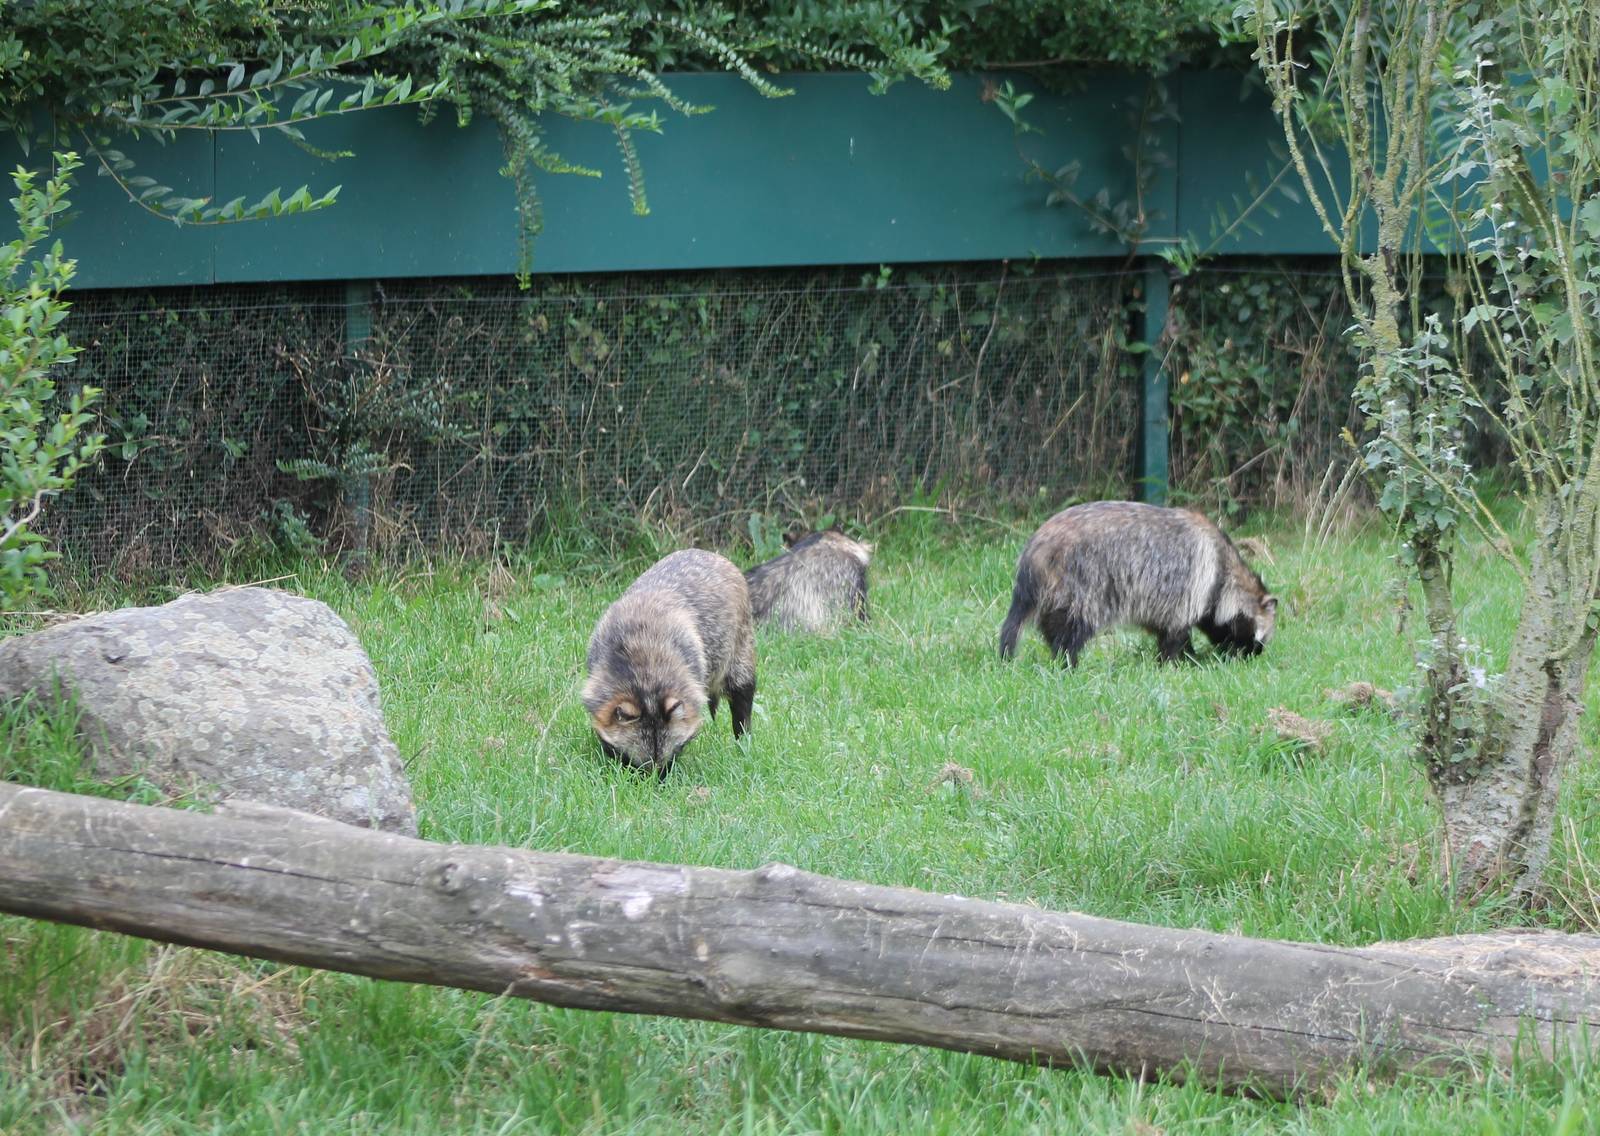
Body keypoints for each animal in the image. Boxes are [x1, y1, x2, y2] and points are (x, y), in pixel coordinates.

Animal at [582, 549, 757, 777]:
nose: (654, 781)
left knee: (742, 688)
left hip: (739, 643)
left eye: (674, 752)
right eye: (630, 759)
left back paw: (743, 738)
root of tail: (712, 555)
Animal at [997, 501, 1277, 667]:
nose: (1253, 655)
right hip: (1084, 580)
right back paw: (1068, 661)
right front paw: (1181, 661)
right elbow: (1176, 634)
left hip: (1055, 589)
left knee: (1039, 624)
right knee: (1074, 626)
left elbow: (1164, 629)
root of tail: (1036, 549)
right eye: (1259, 637)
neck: (1225, 574)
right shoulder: (1191, 585)